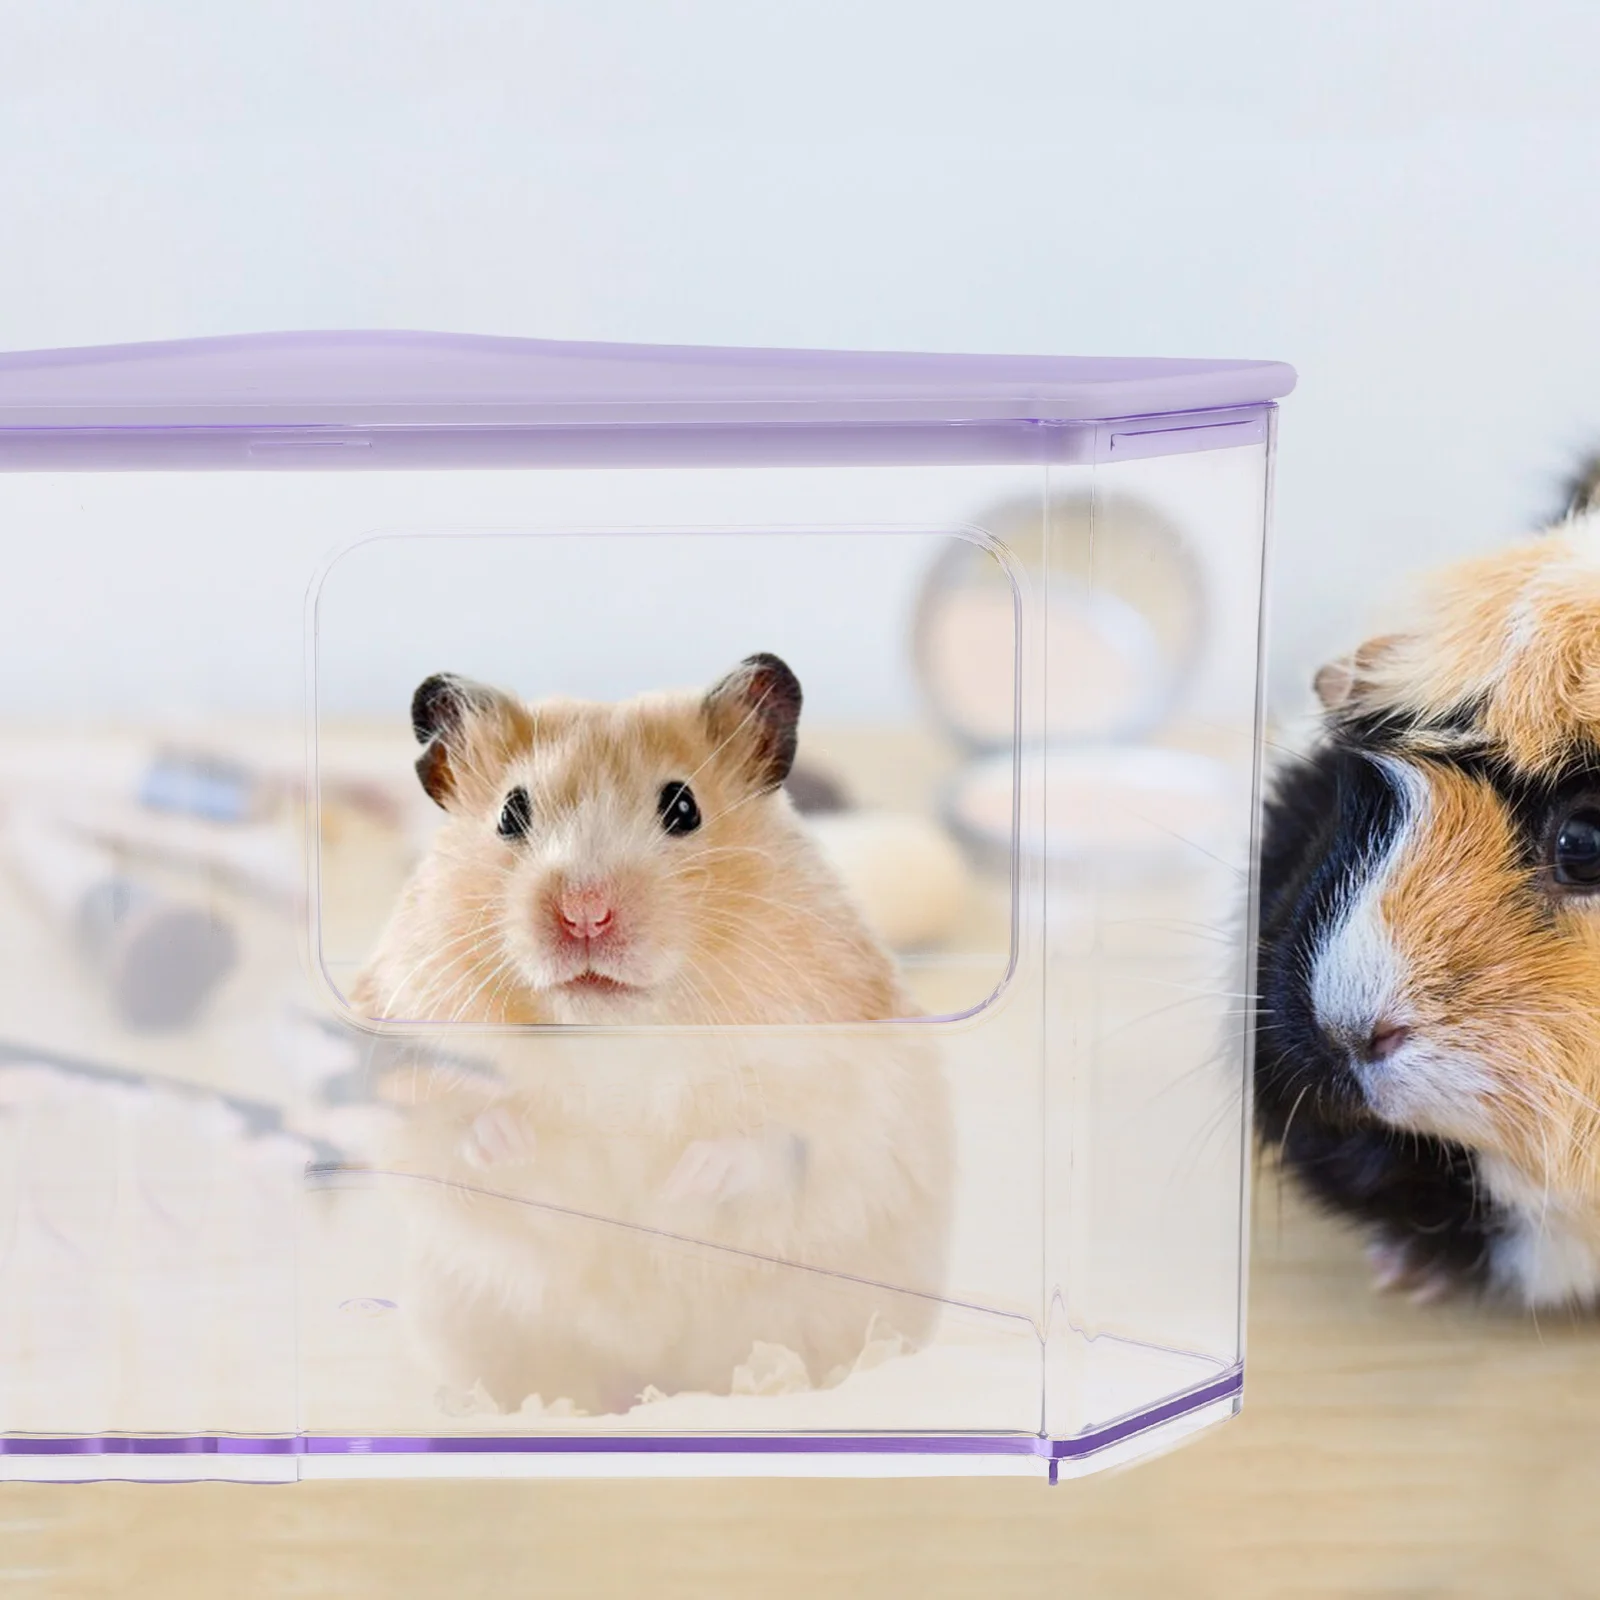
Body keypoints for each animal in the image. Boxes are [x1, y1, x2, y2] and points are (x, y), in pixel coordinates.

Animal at [349, 653, 954, 1414]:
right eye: (511, 813)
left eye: (683, 807)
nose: (584, 913)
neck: (614, 1029)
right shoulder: (397, 1047)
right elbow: (444, 1130)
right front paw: (511, 1140)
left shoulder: (847, 1083)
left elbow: (778, 1142)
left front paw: (685, 1181)